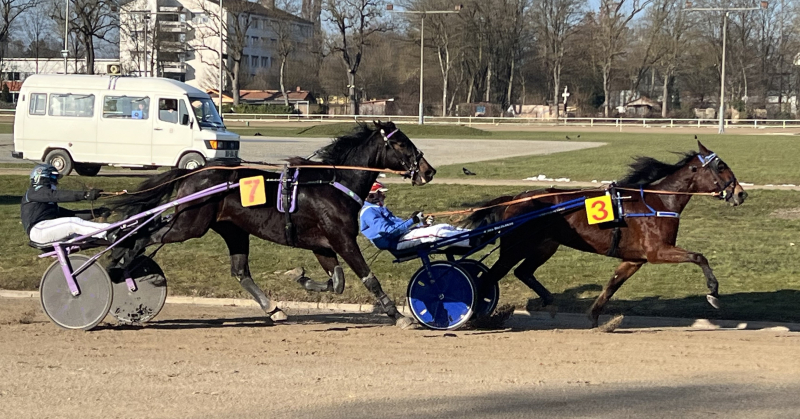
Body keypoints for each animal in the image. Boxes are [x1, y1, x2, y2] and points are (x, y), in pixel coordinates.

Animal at [110, 121, 434, 328]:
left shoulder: (323, 245)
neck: (333, 183)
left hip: (233, 230)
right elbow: (368, 278)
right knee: (145, 235)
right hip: (190, 224)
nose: (428, 171)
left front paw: (301, 278)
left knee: (240, 272)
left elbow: (337, 282)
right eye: (401, 143)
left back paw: (274, 309)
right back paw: (123, 265)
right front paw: (399, 316)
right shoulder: (342, 239)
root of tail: (194, 172)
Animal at [466, 143, 748, 326]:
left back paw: (549, 301)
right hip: (515, 247)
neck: (658, 202)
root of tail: (514, 198)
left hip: (545, 245)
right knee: (489, 277)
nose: (741, 193)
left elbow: (612, 284)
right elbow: (699, 257)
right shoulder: (657, 251)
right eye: (721, 166)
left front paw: (594, 317)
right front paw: (713, 292)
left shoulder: (634, 259)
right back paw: (475, 316)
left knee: (522, 272)